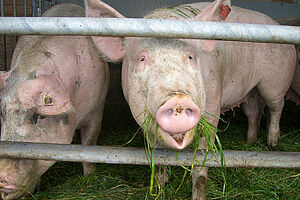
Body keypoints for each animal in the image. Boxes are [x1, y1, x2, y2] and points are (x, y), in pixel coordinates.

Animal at [0, 3, 110, 200]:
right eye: (2, 113)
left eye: (40, 116)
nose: (2, 179)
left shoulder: (97, 111)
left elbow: (89, 146)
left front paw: (90, 178)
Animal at [84, 0, 296, 199]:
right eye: (142, 59)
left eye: (191, 57)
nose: (178, 99)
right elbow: (158, 160)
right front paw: (163, 185)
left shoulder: (212, 109)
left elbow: (200, 167)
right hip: (251, 91)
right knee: (253, 112)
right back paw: (250, 142)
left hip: (275, 82)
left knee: (276, 107)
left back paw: (273, 145)